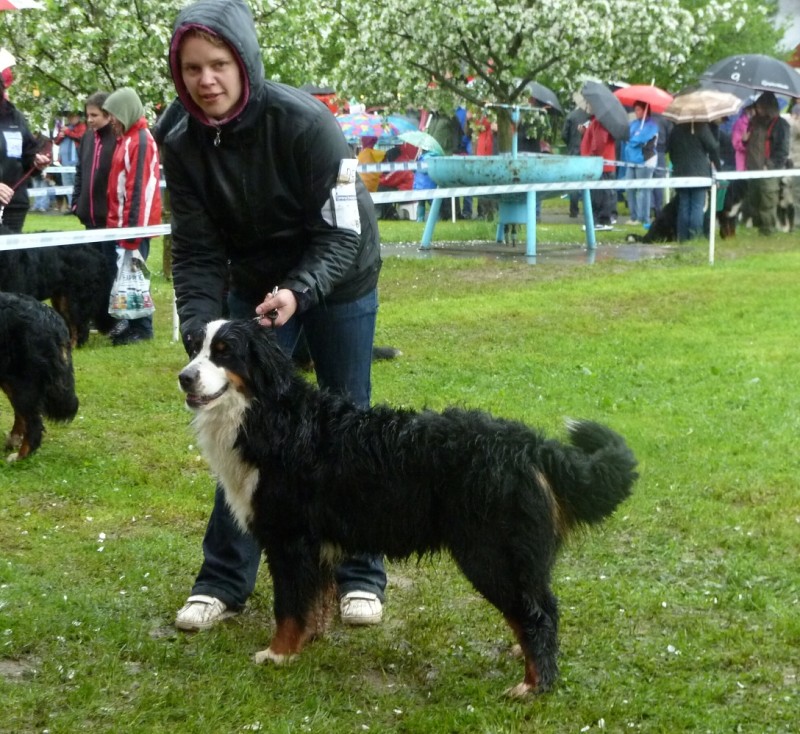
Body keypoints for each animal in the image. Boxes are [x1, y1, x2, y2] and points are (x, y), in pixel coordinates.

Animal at [180, 322, 636, 700]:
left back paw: (533, 685)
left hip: (489, 554)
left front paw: (278, 654)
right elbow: (312, 604)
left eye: (224, 352)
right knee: (536, 608)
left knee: (539, 614)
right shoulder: (315, 545)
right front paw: (307, 643)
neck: (268, 416)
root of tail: (530, 444)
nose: (184, 376)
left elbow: (289, 607)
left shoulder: (290, 540)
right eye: (193, 345)